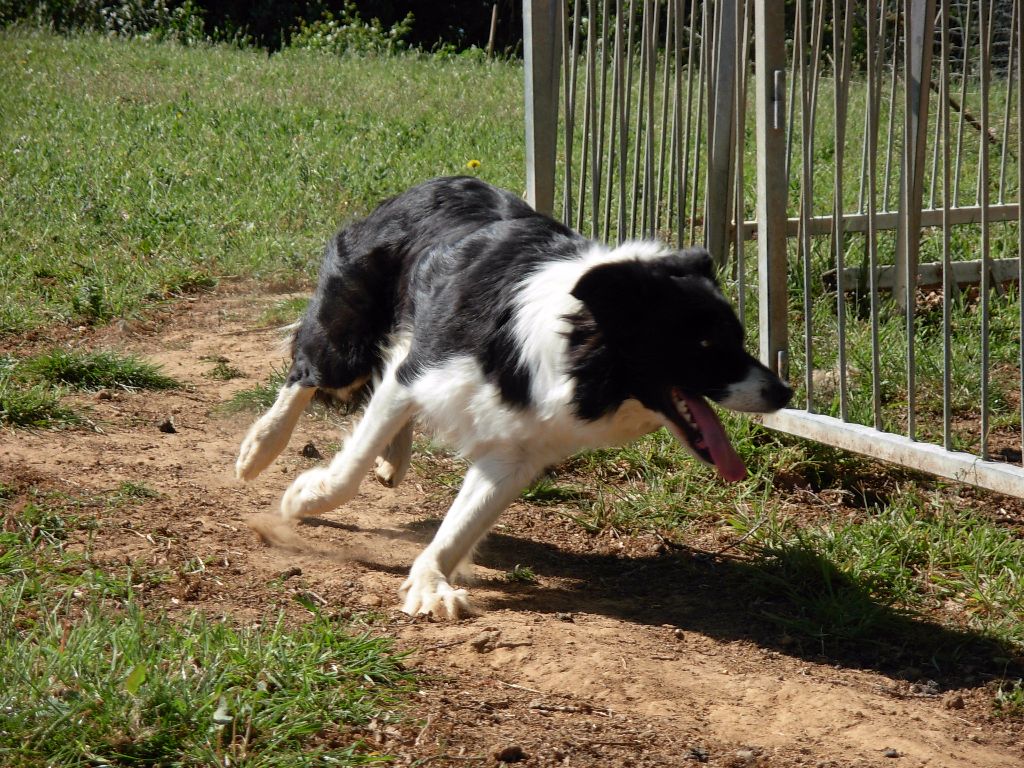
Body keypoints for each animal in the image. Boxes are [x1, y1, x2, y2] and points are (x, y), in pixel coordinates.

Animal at [236, 176, 792, 618]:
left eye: (739, 337)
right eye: (705, 345)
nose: (784, 391)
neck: (569, 337)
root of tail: (424, 186)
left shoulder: (519, 446)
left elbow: (464, 521)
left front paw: (430, 582)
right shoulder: (419, 369)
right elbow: (350, 467)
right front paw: (303, 496)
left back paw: (393, 459)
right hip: (348, 334)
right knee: (307, 371)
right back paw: (259, 447)